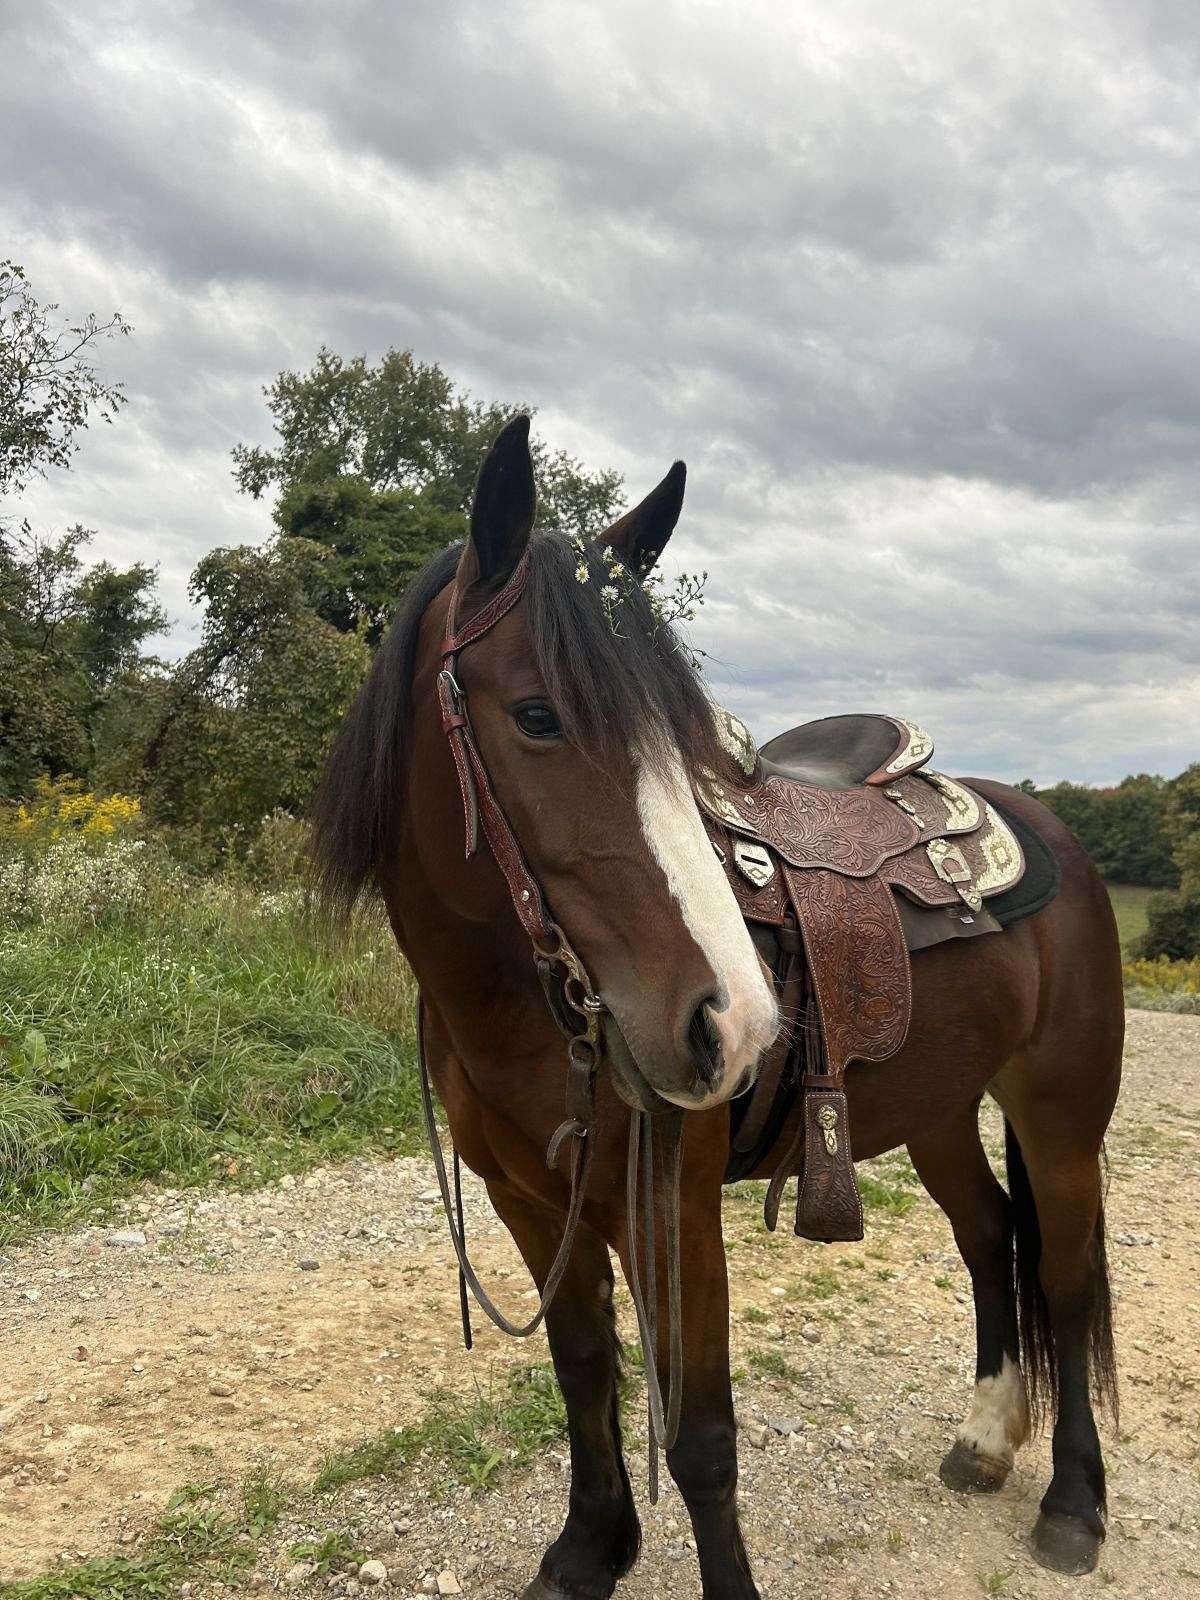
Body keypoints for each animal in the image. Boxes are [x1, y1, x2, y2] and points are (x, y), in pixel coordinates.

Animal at [312, 416, 1126, 1600]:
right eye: (538, 715)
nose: (733, 1026)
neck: (522, 1010)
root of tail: (1049, 825)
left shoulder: (674, 1208)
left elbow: (700, 1436)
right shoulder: (528, 1200)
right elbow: (583, 1369)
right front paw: (588, 1550)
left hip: (1061, 1120)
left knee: (1061, 1277)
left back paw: (1072, 1504)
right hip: (937, 1110)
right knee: (988, 1239)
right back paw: (985, 1440)